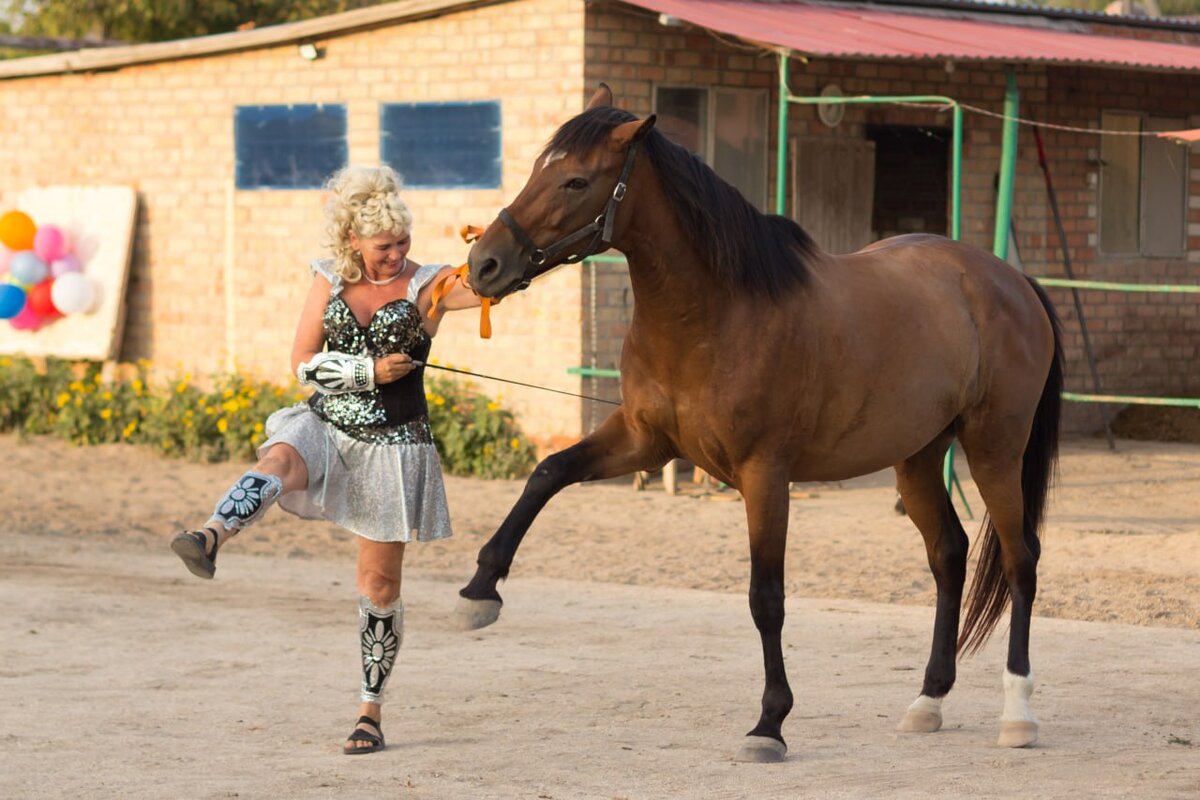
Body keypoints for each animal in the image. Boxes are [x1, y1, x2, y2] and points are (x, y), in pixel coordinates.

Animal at [453, 84, 1065, 767]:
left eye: (576, 180)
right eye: (538, 167)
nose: (484, 264)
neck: (716, 312)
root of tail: (1011, 281)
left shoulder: (765, 474)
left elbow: (765, 598)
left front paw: (770, 722)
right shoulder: (644, 442)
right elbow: (547, 472)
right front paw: (481, 590)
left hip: (993, 450)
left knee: (1020, 558)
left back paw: (1018, 714)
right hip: (917, 457)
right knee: (949, 555)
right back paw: (928, 701)